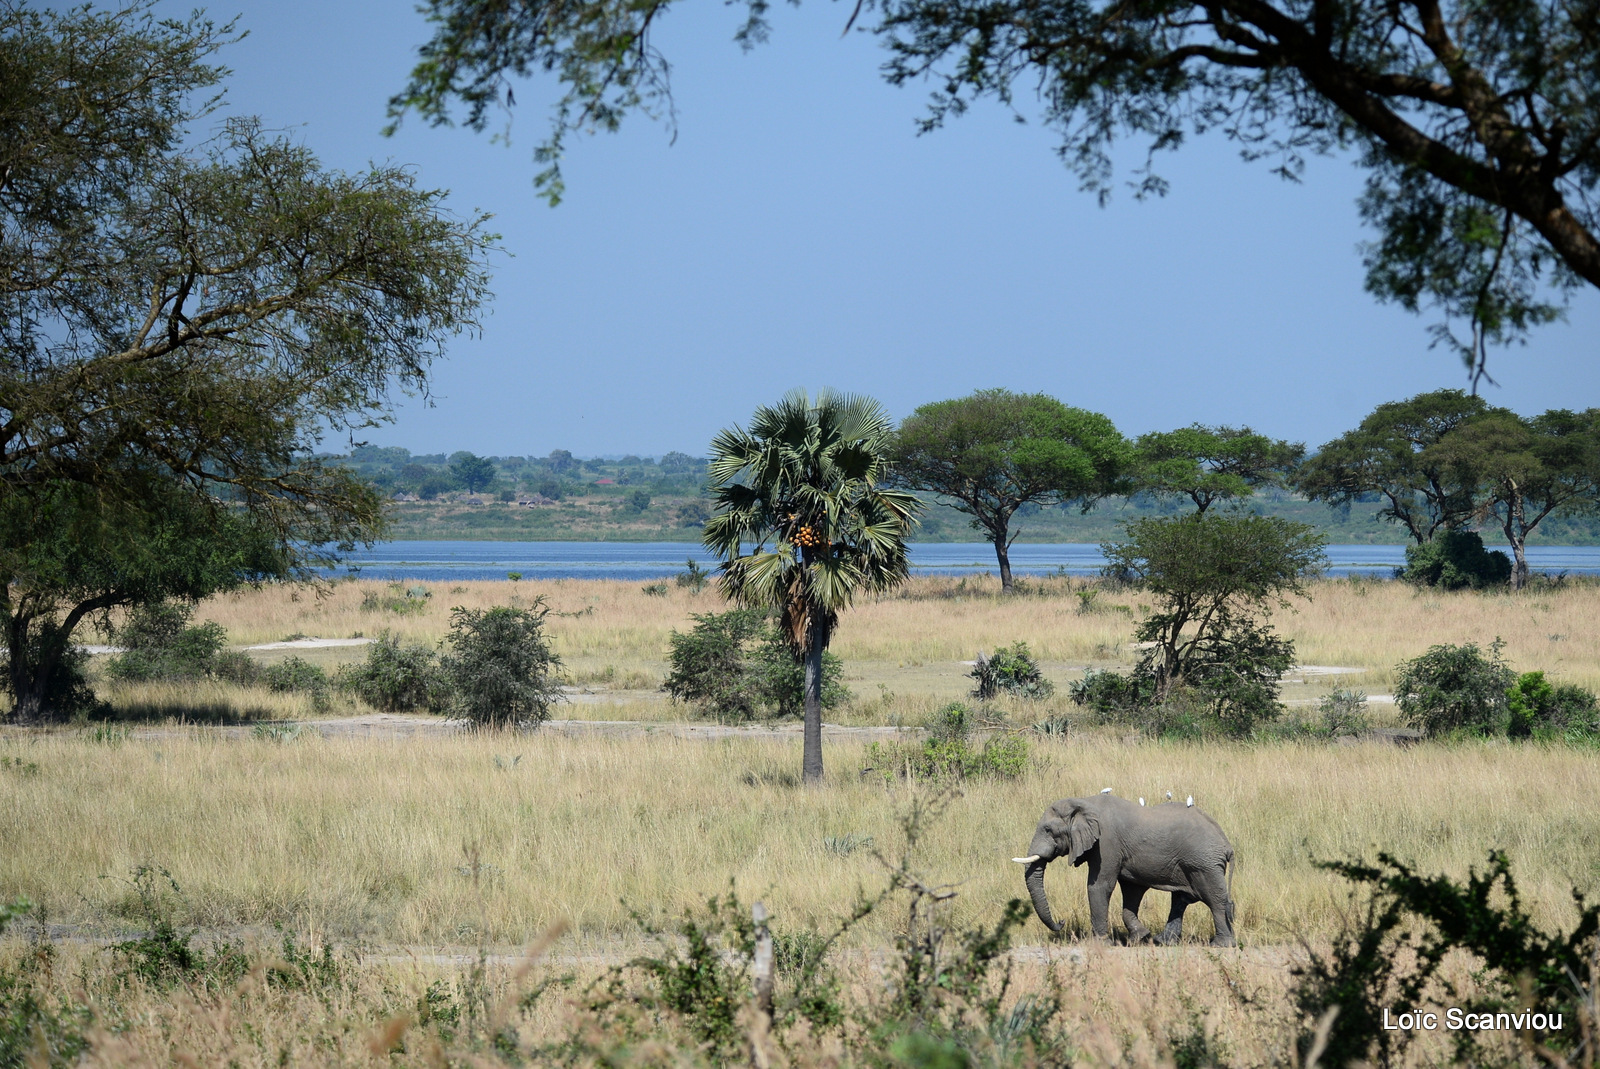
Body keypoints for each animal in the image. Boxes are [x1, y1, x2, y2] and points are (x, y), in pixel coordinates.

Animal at [1011, 793, 1235, 940]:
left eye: (1048, 830)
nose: (1062, 922)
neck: (1084, 802)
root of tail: (1227, 845)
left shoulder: (1107, 843)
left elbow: (1100, 886)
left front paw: (1099, 943)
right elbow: (1131, 890)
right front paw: (1140, 937)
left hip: (1204, 863)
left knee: (1214, 899)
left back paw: (1222, 944)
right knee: (1181, 899)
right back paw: (1162, 941)